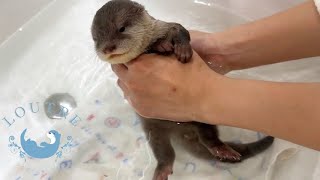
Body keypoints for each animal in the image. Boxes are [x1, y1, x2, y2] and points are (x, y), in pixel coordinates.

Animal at [91, 0, 274, 179]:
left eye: (121, 28)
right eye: (95, 38)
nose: (107, 48)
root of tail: (181, 130)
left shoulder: (165, 25)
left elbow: (181, 30)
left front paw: (180, 49)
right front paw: (162, 45)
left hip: (201, 117)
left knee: (209, 137)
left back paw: (222, 149)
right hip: (153, 129)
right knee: (165, 152)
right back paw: (162, 170)